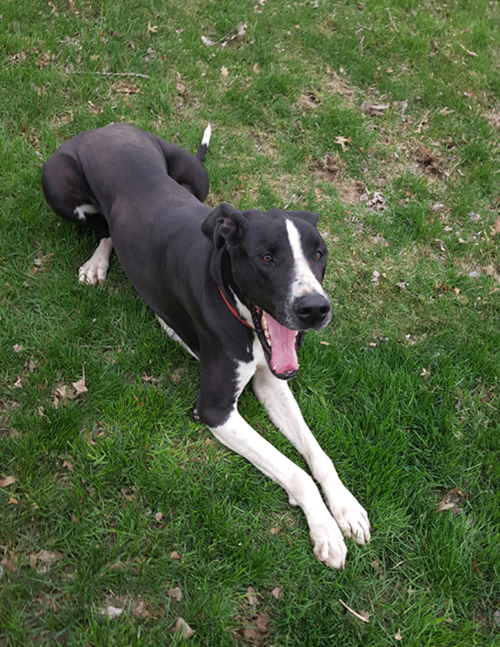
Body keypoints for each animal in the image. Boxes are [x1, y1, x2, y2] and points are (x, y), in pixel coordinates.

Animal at [41, 123, 370, 568]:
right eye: (267, 258)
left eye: (319, 253)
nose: (315, 308)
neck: (237, 307)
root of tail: (105, 127)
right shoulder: (215, 410)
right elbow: (294, 470)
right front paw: (325, 530)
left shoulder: (272, 380)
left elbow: (317, 454)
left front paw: (346, 508)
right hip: (59, 186)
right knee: (102, 226)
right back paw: (98, 263)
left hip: (197, 178)